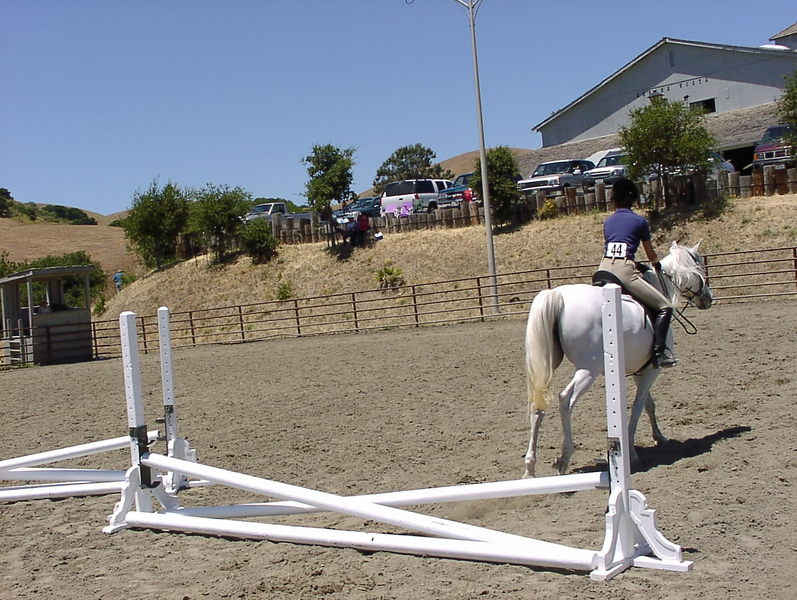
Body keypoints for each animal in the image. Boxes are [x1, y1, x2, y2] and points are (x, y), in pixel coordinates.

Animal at [523, 241, 714, 478]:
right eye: (700, 270)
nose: (708, 299)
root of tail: (557, 295)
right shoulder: (652, 370)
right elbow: (638, 407)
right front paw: (631, 453)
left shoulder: (640, 370)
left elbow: (649, 405)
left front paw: (659, 437)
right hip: (588, 370)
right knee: (565, 400)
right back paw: (564, 458)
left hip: (547, 365)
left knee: (537, 404)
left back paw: (530, 469)